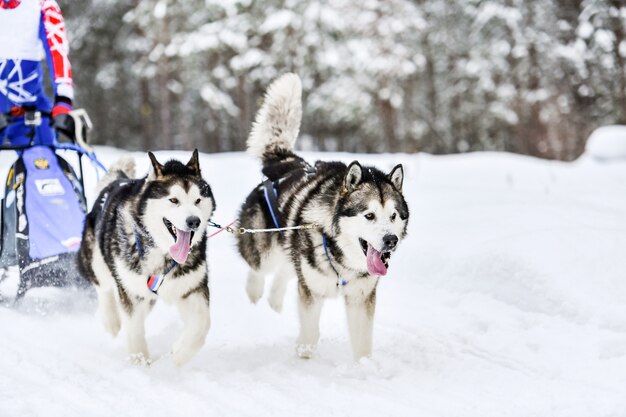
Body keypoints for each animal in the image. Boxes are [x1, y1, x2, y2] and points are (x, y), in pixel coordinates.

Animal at [77, 151, 214, 366]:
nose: (194, 221)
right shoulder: (130, 292)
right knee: (103, 286)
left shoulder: (191, 288)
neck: (163, 252)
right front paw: (139, 363)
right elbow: (134, 330)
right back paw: (111, 320)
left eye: (198, 200)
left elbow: (202, 325)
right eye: (173, 200)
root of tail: (118, 180)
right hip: (96, 260)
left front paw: (179, 353)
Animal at [236, 73, 408, 360]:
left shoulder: (361, 298)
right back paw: (254, 297)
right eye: (369, 215)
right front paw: (304, 358)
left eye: (393, 215)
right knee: (258, 267)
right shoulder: (311, 293)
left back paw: (274, 300)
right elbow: (309, 336)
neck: (341, 259)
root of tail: (286, 161)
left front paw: (364, 366)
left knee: (284, 270)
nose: (390, 240)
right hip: (266, 249)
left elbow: (363, 344)